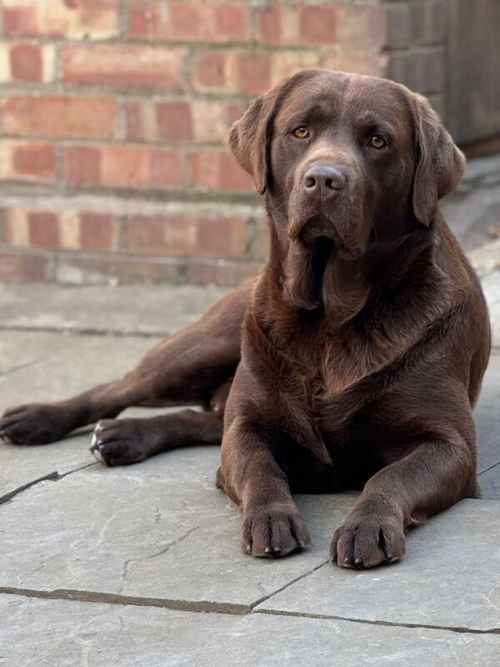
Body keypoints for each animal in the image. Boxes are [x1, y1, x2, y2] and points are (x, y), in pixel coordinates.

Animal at [0, 70, 490, 572]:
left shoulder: (449, 445)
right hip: (205, 346)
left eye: (378, 141)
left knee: (207, 416)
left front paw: (367, 526)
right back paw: (40, 418)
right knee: (122, 390)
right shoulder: (250, 426)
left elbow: (389, 477)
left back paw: (124, 436)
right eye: (300, 131)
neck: (330, 318)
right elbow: (260, 467)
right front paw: (272, 520)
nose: (324, 179)